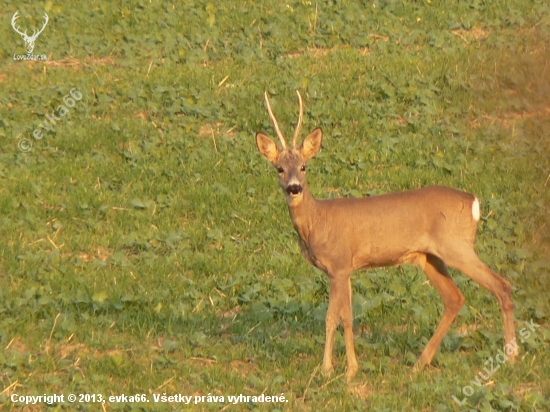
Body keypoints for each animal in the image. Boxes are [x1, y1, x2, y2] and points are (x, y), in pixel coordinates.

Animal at [256, 91, 520, 382]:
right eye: (279, 168)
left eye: (304, 167)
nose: (294, 188)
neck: (318, 222)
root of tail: (473, 201)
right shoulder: (346, 269)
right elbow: (347, 317)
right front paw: (351, 368)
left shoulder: (339, 264)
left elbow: (332, 318)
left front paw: (329, 370)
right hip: (430, 257)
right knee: (455, 298)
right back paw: (420, 363)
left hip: (457, 247)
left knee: (501, 285)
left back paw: (511, 357)